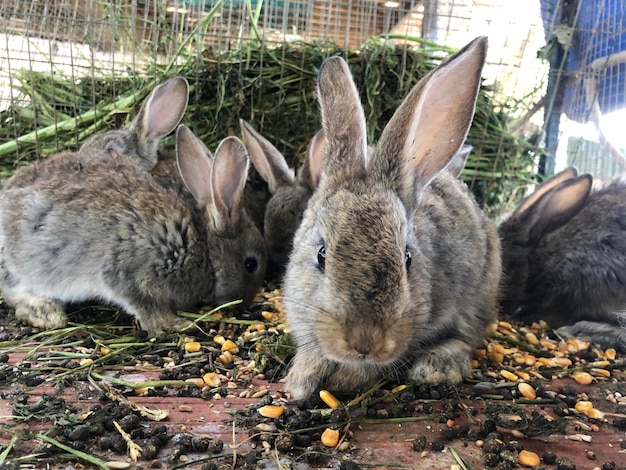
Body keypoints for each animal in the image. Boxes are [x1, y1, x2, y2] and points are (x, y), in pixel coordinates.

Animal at [0, 125, 266, 334]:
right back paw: (46, 311)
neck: (199, 244)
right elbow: (144, 305)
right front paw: (175, 324)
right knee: (11, 290)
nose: (244, 304)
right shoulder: (130, 271)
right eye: (250, 264)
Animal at [280, 35, 500, 400]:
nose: (366, 342)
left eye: (407, 259)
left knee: (467, 337)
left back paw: (439, 366)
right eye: (321, 255)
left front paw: (347, 378)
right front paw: (302, 380)